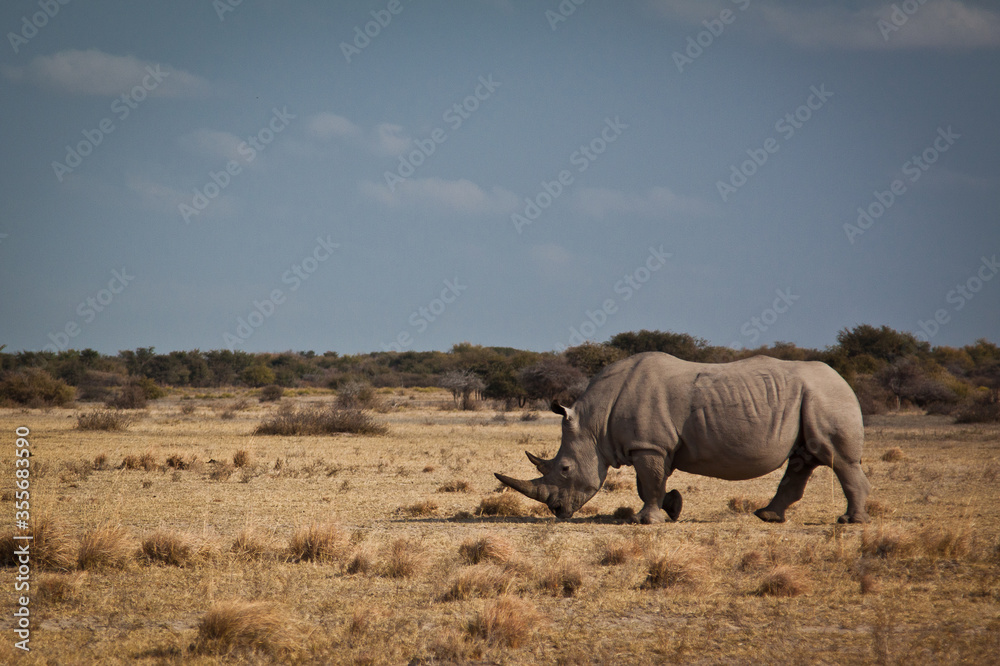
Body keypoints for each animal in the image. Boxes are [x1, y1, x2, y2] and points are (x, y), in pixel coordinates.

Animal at [495, 352, 871, 525]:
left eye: (564, 469)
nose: (557, 511)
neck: (595, 424)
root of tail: (843, 379)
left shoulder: (648, 445)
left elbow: (649, 482)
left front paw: (644, 521)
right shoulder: (653, 445)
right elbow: (650, 483)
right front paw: (672, 508)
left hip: (827, 396)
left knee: (836, 457)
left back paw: (850, 522)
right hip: (813, 399)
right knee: (804, 457)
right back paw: (767, 516)